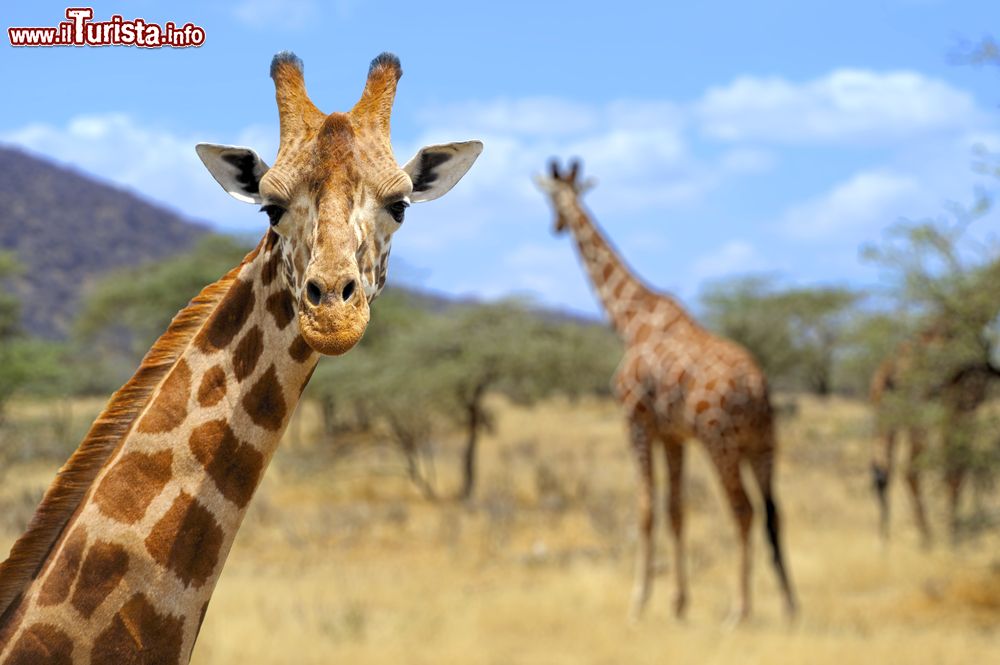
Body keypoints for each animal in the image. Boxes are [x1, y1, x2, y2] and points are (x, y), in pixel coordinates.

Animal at [536, 160, 792, 624]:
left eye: (551, 199)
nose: (556, 226)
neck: (631, 321)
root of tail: (757, 387)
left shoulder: (636, 422)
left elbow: (645, 509)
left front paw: (638, 602)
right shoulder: (674, 435)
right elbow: (676, 511)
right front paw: (677, 603)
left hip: (719, 441)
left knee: (744, 511)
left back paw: (740, 610)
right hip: (762, 442)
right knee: (773, 512)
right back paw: (788, 604)